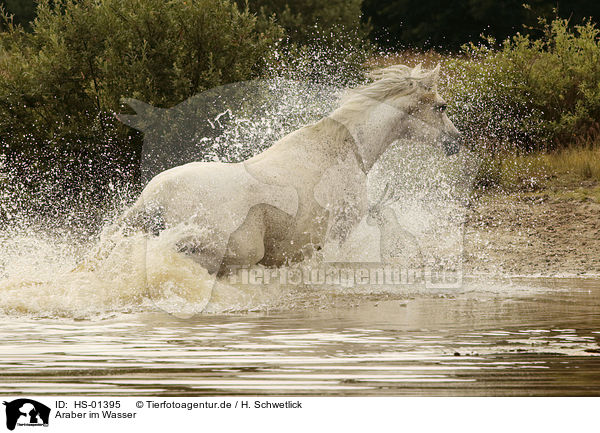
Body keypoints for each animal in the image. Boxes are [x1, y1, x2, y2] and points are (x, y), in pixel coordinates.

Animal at [119, 62, 462, 276]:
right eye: (441, 106)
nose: (456, 141)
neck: (346, 150)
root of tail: (154, 199)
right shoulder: (338, 234)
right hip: (229, 252)